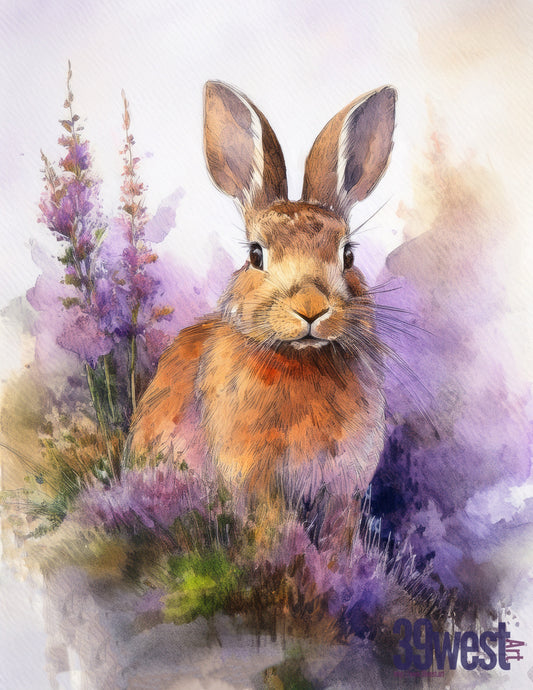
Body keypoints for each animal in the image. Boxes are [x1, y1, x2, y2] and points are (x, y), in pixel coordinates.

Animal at [128, 81, 396, 541]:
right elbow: (273, 528)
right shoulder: (255, 477)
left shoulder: (343, 486)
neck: (301, 359)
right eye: (255, 254)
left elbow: (339, 534)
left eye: (348, 255)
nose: (311, 307)